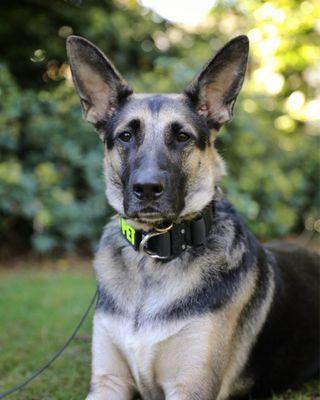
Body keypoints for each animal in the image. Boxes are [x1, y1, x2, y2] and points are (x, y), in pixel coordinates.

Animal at [66, 35, 318, 400]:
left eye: (182, 136)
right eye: (126, 136)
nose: (146, 188)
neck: (155, 254)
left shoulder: (190, 388)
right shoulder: (107, 383)